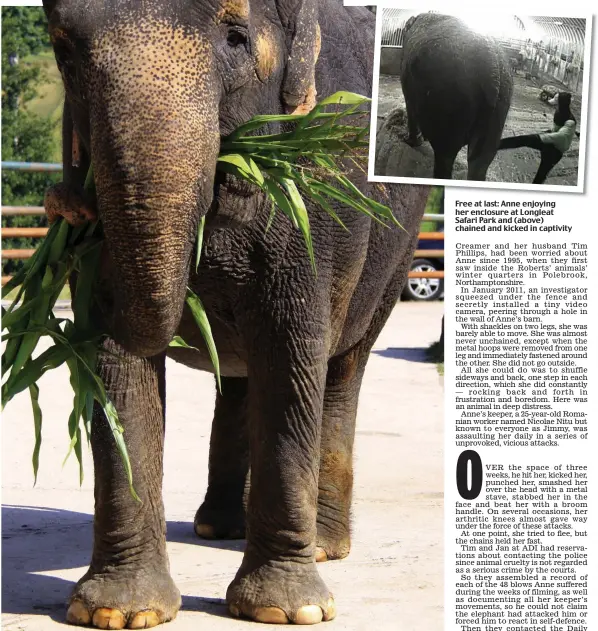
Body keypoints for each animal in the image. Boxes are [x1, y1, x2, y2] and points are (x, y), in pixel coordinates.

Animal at [39, 1, 432, 628]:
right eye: (63, 50)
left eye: (236, 37)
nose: (67, 208)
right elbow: (114, 365)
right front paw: (119, 612)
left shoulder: (313, 210)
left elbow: (292, 352)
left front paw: (286, 610)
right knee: (242, 378)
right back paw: (218, 528)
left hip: (393, 258)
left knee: (343, 367)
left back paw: (324, 546)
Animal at [400, 12, 512, 180]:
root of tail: (492, 69)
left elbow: (410, 107)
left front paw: (410, 141)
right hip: (500, 105)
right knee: (480, 160)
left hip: (450, 105)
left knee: (445, 155)